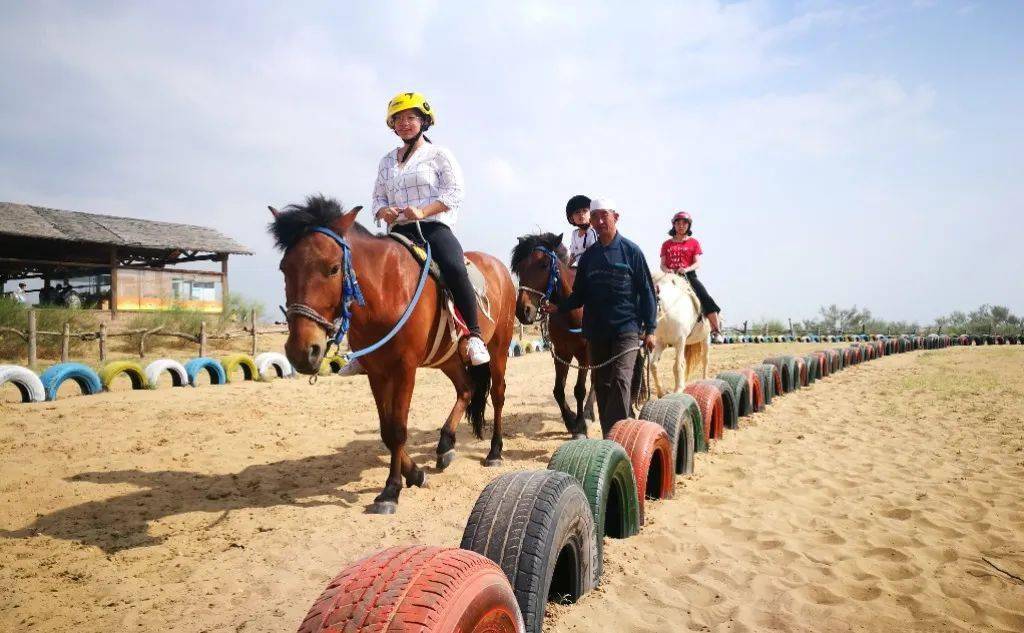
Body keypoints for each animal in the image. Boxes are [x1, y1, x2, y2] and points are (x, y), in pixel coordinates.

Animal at [270, 193, 516, 512]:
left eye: (333, 268)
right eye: (284, 268)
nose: (302, 351)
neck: (385, 288)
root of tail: (499, 268)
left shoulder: (404, 368)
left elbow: (398, 429)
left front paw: (391, 490)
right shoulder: (376, 371)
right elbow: (386, 431)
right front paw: (415, 474)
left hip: (498, 349)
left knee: (497, 395)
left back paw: (494, 451)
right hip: (448, 358)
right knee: (466, 389)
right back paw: (445, 445)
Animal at [507, 231, 589, 434]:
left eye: (544, 264)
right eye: (519, 268)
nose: (523, 311)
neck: (573, 309)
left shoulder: (585, 353)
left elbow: (579, 390)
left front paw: (581, 424)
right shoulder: (562, 352)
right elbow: (558, 390)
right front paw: (570, 420)